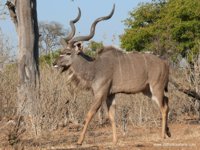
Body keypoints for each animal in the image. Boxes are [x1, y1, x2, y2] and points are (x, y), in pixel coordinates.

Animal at [54, 4, 171, 145]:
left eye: (67, 53)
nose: (54, 63)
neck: (94, 67)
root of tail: (165, 63)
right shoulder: (110, 95)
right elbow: (111, 116)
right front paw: (114, 140)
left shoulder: (100, 94)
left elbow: (90, 114)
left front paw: (79, 141)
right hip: (147, 91)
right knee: (166, 103)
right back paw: (168, 133)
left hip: (156, 87)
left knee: (163, 107)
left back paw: (162, 136)